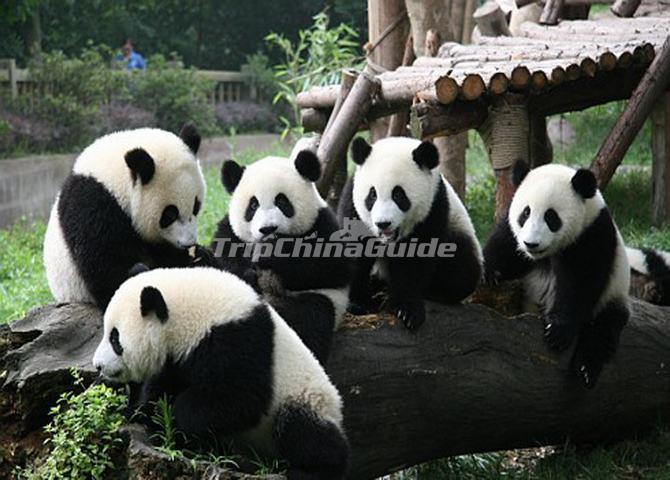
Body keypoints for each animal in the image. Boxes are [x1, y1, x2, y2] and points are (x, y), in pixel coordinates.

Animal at [44, 125, 207, 310]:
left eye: (196, 206)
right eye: (170, 214)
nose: (189, 243)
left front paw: (198, 257)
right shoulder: (92, 206)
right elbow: (103, 267)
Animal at [93, 268, 352, 478]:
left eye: (115, 338)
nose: (98, 365)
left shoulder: (236, 340)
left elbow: (241, 400)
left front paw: (176, 421)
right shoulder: (176, 360)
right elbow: (160, 387)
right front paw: (141, 414)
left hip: (306, 399)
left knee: (304, 432)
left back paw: (308, 470)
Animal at [214, 150, 352, 364]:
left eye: (282, 201)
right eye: (253, 205)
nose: (267, 229)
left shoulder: (323, 223)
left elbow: (332, 267)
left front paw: (270, 252)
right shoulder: (230, 231)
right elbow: (224, 256)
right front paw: (248, 273)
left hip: (321, 301)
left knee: (310, 319)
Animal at [342, 135, 484, 330]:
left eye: (398, 195)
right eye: (372, 195)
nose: (383, 224)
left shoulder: (434, 207)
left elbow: (417, 259)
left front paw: (407, 311)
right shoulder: (352, 203)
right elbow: (353, 251)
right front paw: (357, 303)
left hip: (459, 231)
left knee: (462, 270)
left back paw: (432, 293)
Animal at [484, 161, 632, 390]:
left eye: (551, 217)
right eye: (525, 213)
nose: (531, 244)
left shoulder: (592, 235)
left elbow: (580, 284)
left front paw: (557, 331)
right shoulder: (512, 232)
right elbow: (504, 248)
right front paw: (488, 272)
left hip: (615, 293)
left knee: (604, 328)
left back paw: (586, 368)